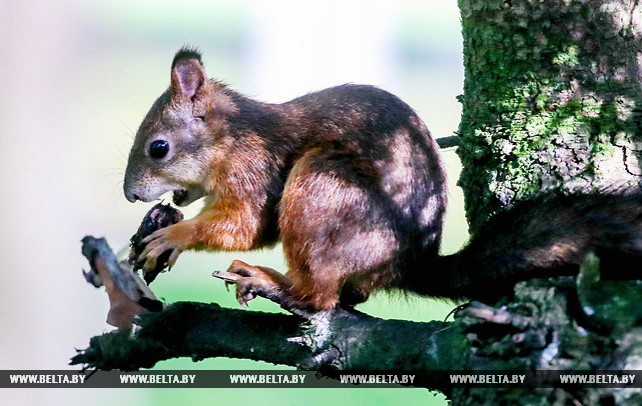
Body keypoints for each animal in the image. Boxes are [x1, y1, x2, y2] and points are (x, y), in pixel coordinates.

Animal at [124, 47, 640, 312]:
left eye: (158, 148)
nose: (130, 195)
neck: (232, 137)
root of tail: (407, 265)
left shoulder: (255, 168)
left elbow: (247, 224)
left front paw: (173, 235)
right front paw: (161, 222)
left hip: (323, 185)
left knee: (321, 297)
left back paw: (273, 282)